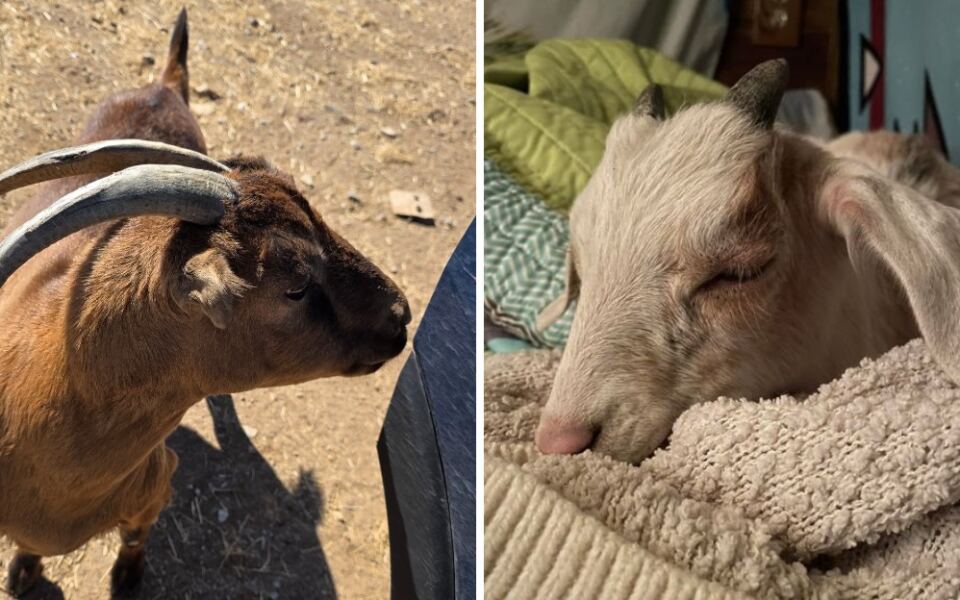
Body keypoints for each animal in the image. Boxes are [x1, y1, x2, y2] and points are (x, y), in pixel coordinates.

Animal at [0, 10, 409, 596]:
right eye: (294, 285)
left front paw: (127, 578)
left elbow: (134, 537)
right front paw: (25, 569)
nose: (400, 314)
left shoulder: (154, 486)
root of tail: (163, 86)